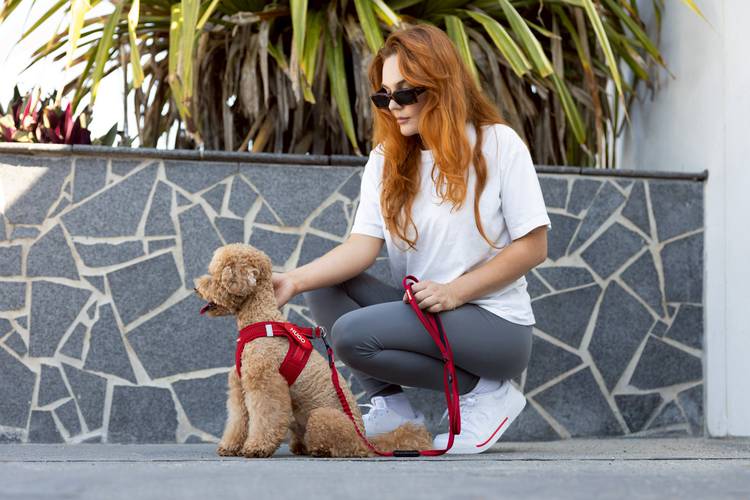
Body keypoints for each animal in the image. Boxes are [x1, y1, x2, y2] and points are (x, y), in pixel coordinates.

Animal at [193, 243, 433, 457]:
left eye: (215, 275)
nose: (196, 287)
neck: (260, 319)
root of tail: (365, 439)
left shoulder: (265, 384)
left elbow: (264, 417)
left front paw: (256, 448)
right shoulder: (239, 387)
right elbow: (238, 420)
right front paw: (230, 446)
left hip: (321, 417)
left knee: (339, 446)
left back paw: (320, 450)